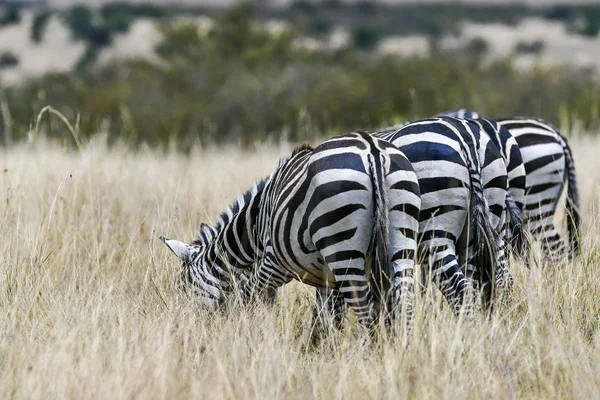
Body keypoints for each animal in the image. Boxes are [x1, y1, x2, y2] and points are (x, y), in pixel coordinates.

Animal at [162, 133, 420, 336]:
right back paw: (399, 353)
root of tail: (372, 151)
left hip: (343, 249)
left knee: (365, 310)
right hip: (402, 239)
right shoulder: (326, 278)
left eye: (183, 286)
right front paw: (320, 346)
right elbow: (326, 315)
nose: (181, 327)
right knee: (404, 303)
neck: (254, 227)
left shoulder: (273, 264)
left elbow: (250, 297)